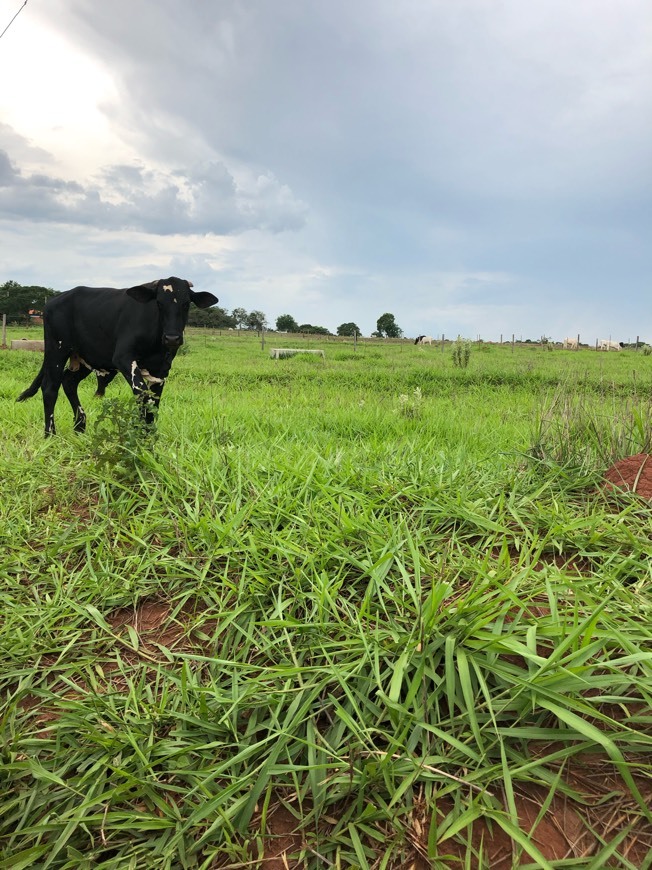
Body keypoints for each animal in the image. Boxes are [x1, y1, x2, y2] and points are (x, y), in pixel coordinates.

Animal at [15, 278, 218, 436]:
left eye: (186, 304)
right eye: (159, 303)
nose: (172, 338)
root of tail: (55, 299)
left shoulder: (162, 369)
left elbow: (154, 402)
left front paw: (149, 435)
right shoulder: (123, 358)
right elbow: (143, 395)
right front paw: (142, 435)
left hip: (86, 357)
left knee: (69, 382)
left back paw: (80, 427)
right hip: (56, 350)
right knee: (50, 388)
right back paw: (50, 434)